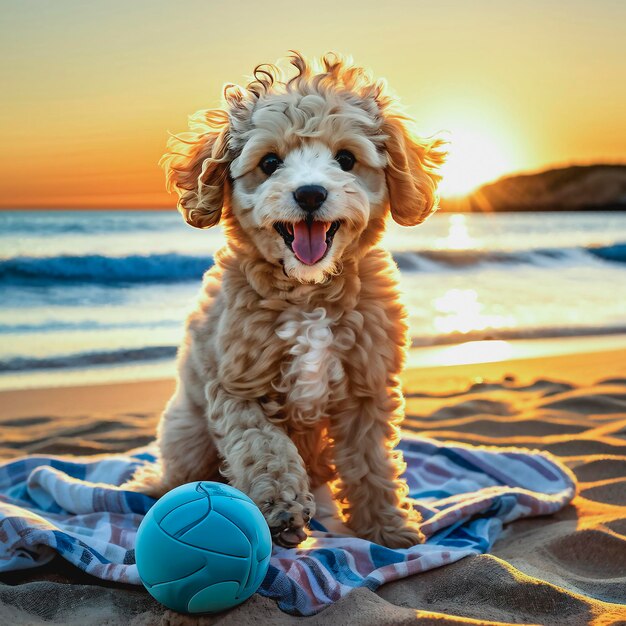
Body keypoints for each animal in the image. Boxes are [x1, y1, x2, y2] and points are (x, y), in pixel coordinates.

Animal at [125, 52, 444, 544]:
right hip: (187, 432)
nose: (310, 193)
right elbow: (265, 447)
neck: (309, 294)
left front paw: (387, 529)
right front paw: (282, 507)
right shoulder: (237, 387)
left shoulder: (367, 387)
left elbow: (372, 464)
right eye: (270, 161)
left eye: (346, 159)